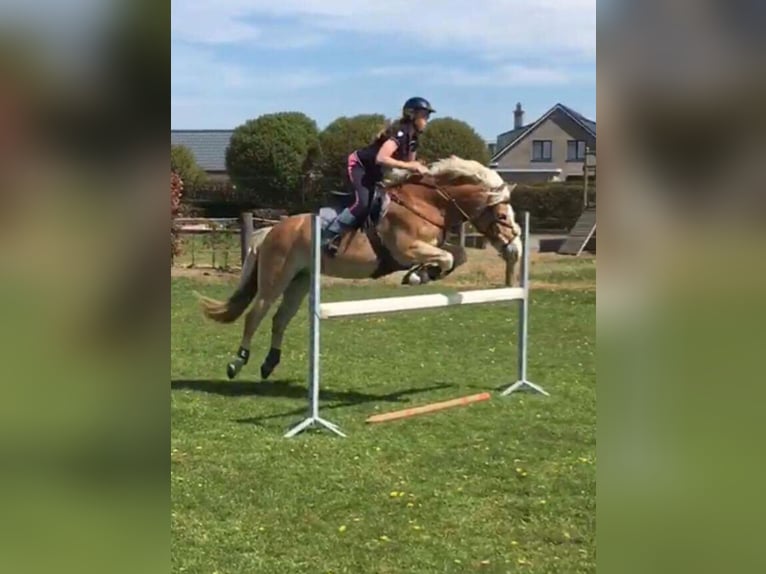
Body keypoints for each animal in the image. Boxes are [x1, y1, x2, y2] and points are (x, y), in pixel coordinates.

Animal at [196, 158, 520, 382]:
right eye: (503, 216)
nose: (515, 249)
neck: (428, 204)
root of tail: (272, 230)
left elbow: (458, 255)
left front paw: (422, 274)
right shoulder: (406, 249)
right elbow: (448, 257)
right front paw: (418, 275)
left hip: (299, 281)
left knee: (279, 319)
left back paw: (269, 364)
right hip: (274, 280)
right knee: (255, 315)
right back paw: (237, 362)